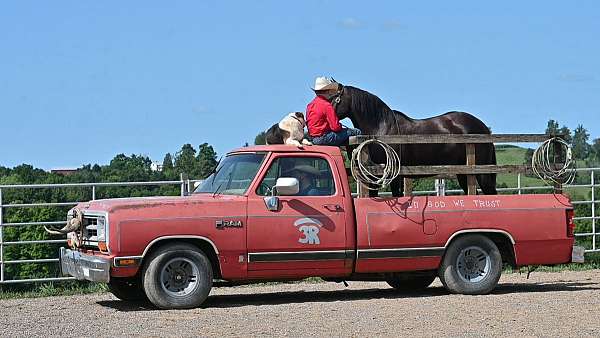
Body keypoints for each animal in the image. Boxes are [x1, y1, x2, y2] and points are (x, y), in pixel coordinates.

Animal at [328, 83, 496, 197]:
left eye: (334, 99)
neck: (381, 128)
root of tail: (483, 127)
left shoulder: (394, 175)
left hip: (481, 173)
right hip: (463, 173)